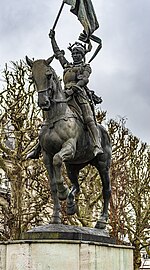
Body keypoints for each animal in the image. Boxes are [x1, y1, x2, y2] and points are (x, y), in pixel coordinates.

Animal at [25, 56, 112, 229]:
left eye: (48, 75)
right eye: (32, 78)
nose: (43, 102)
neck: (55, 117)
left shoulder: (69, 148)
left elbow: (58, 160)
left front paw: (63, 191)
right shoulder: (46, 156)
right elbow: (52, 185)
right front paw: (55, 217)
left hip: (103, 164)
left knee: (106, 191)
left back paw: (101, 221)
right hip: (73, 165)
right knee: (77, 186)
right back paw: (71, 205)